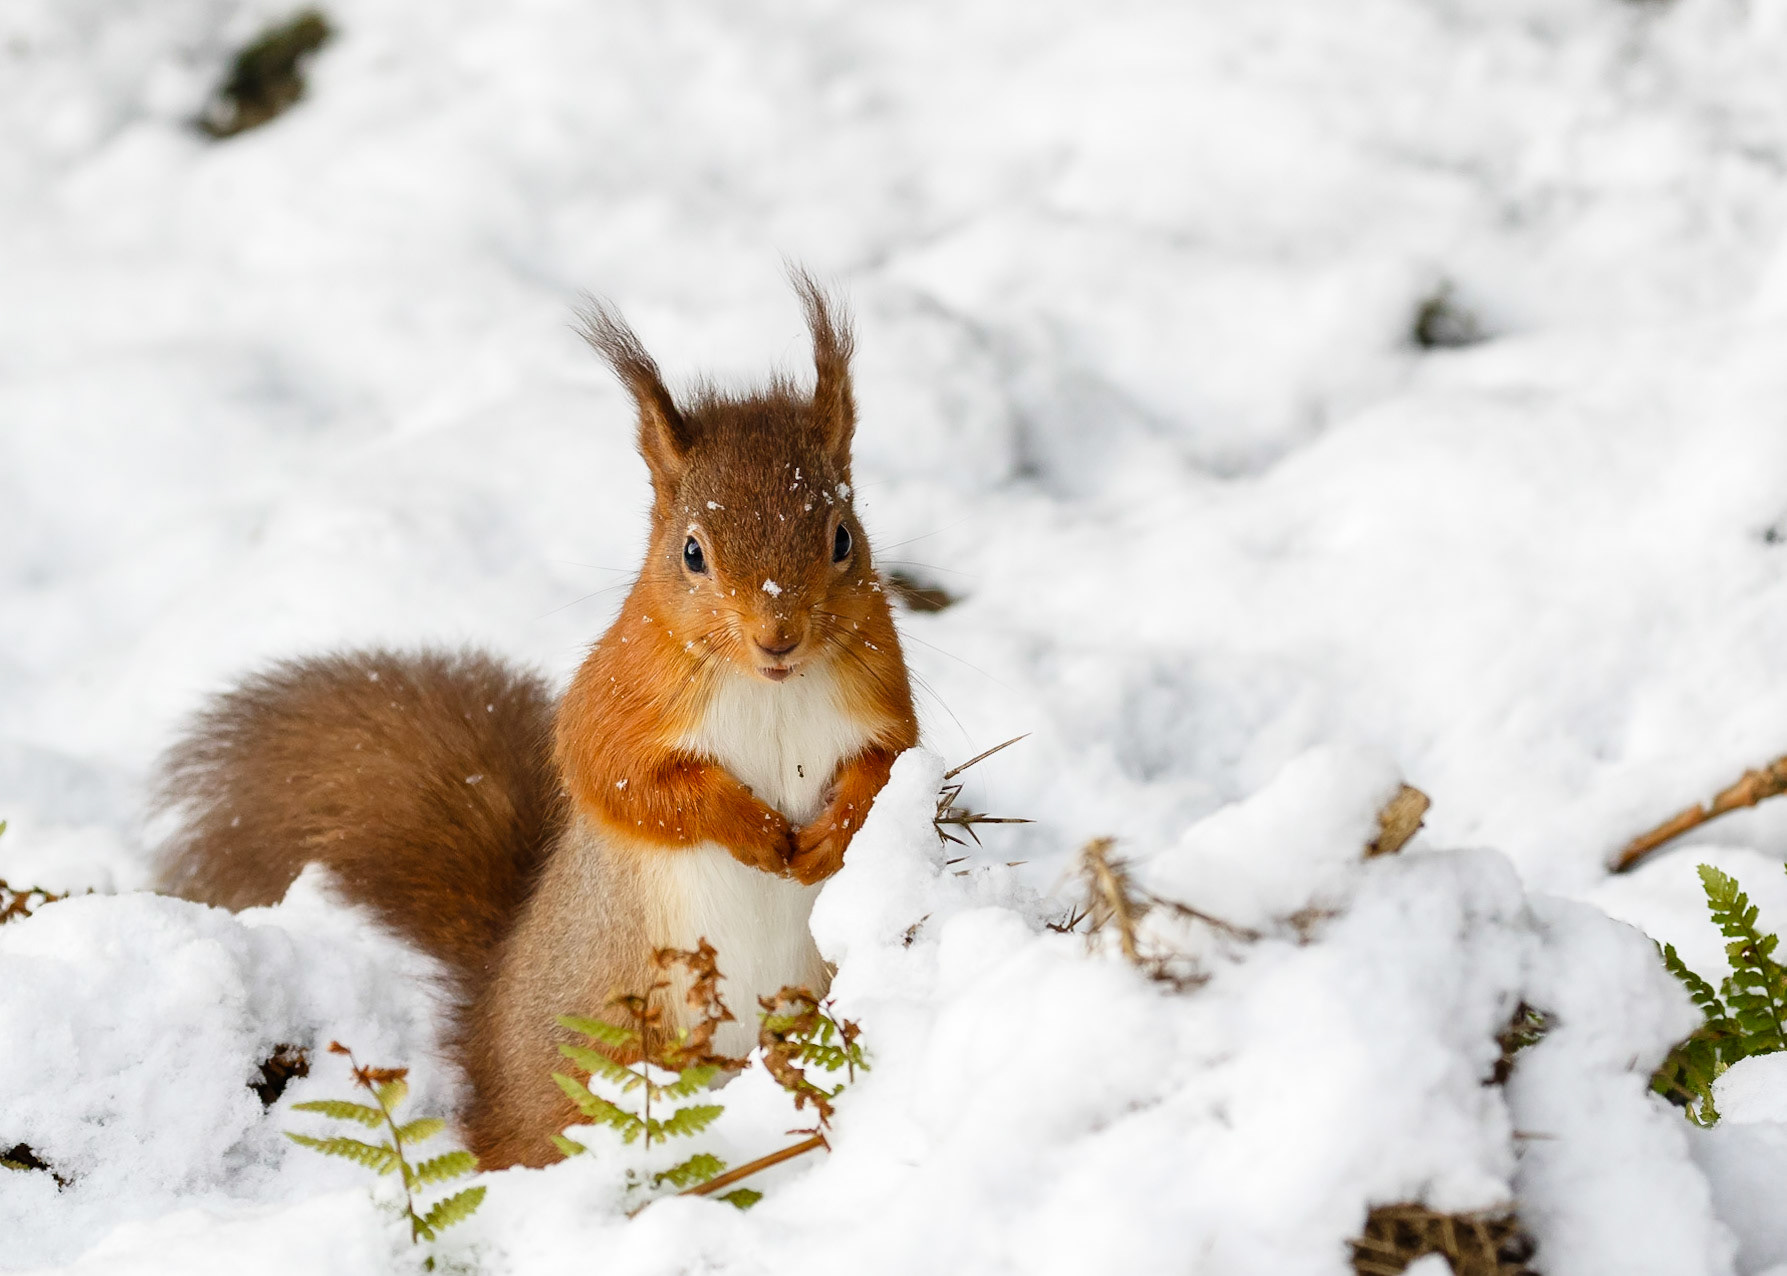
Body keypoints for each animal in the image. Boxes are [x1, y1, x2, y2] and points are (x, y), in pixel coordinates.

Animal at [152, 276, 920, 1168]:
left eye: (843, 538)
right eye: (691, 553)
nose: (778, 636)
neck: (767, 686)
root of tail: (490, 1022)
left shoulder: (880, 696)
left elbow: (888, 765)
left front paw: (831, 835)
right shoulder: (617, 702)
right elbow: (627, 783)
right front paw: (755, 829)